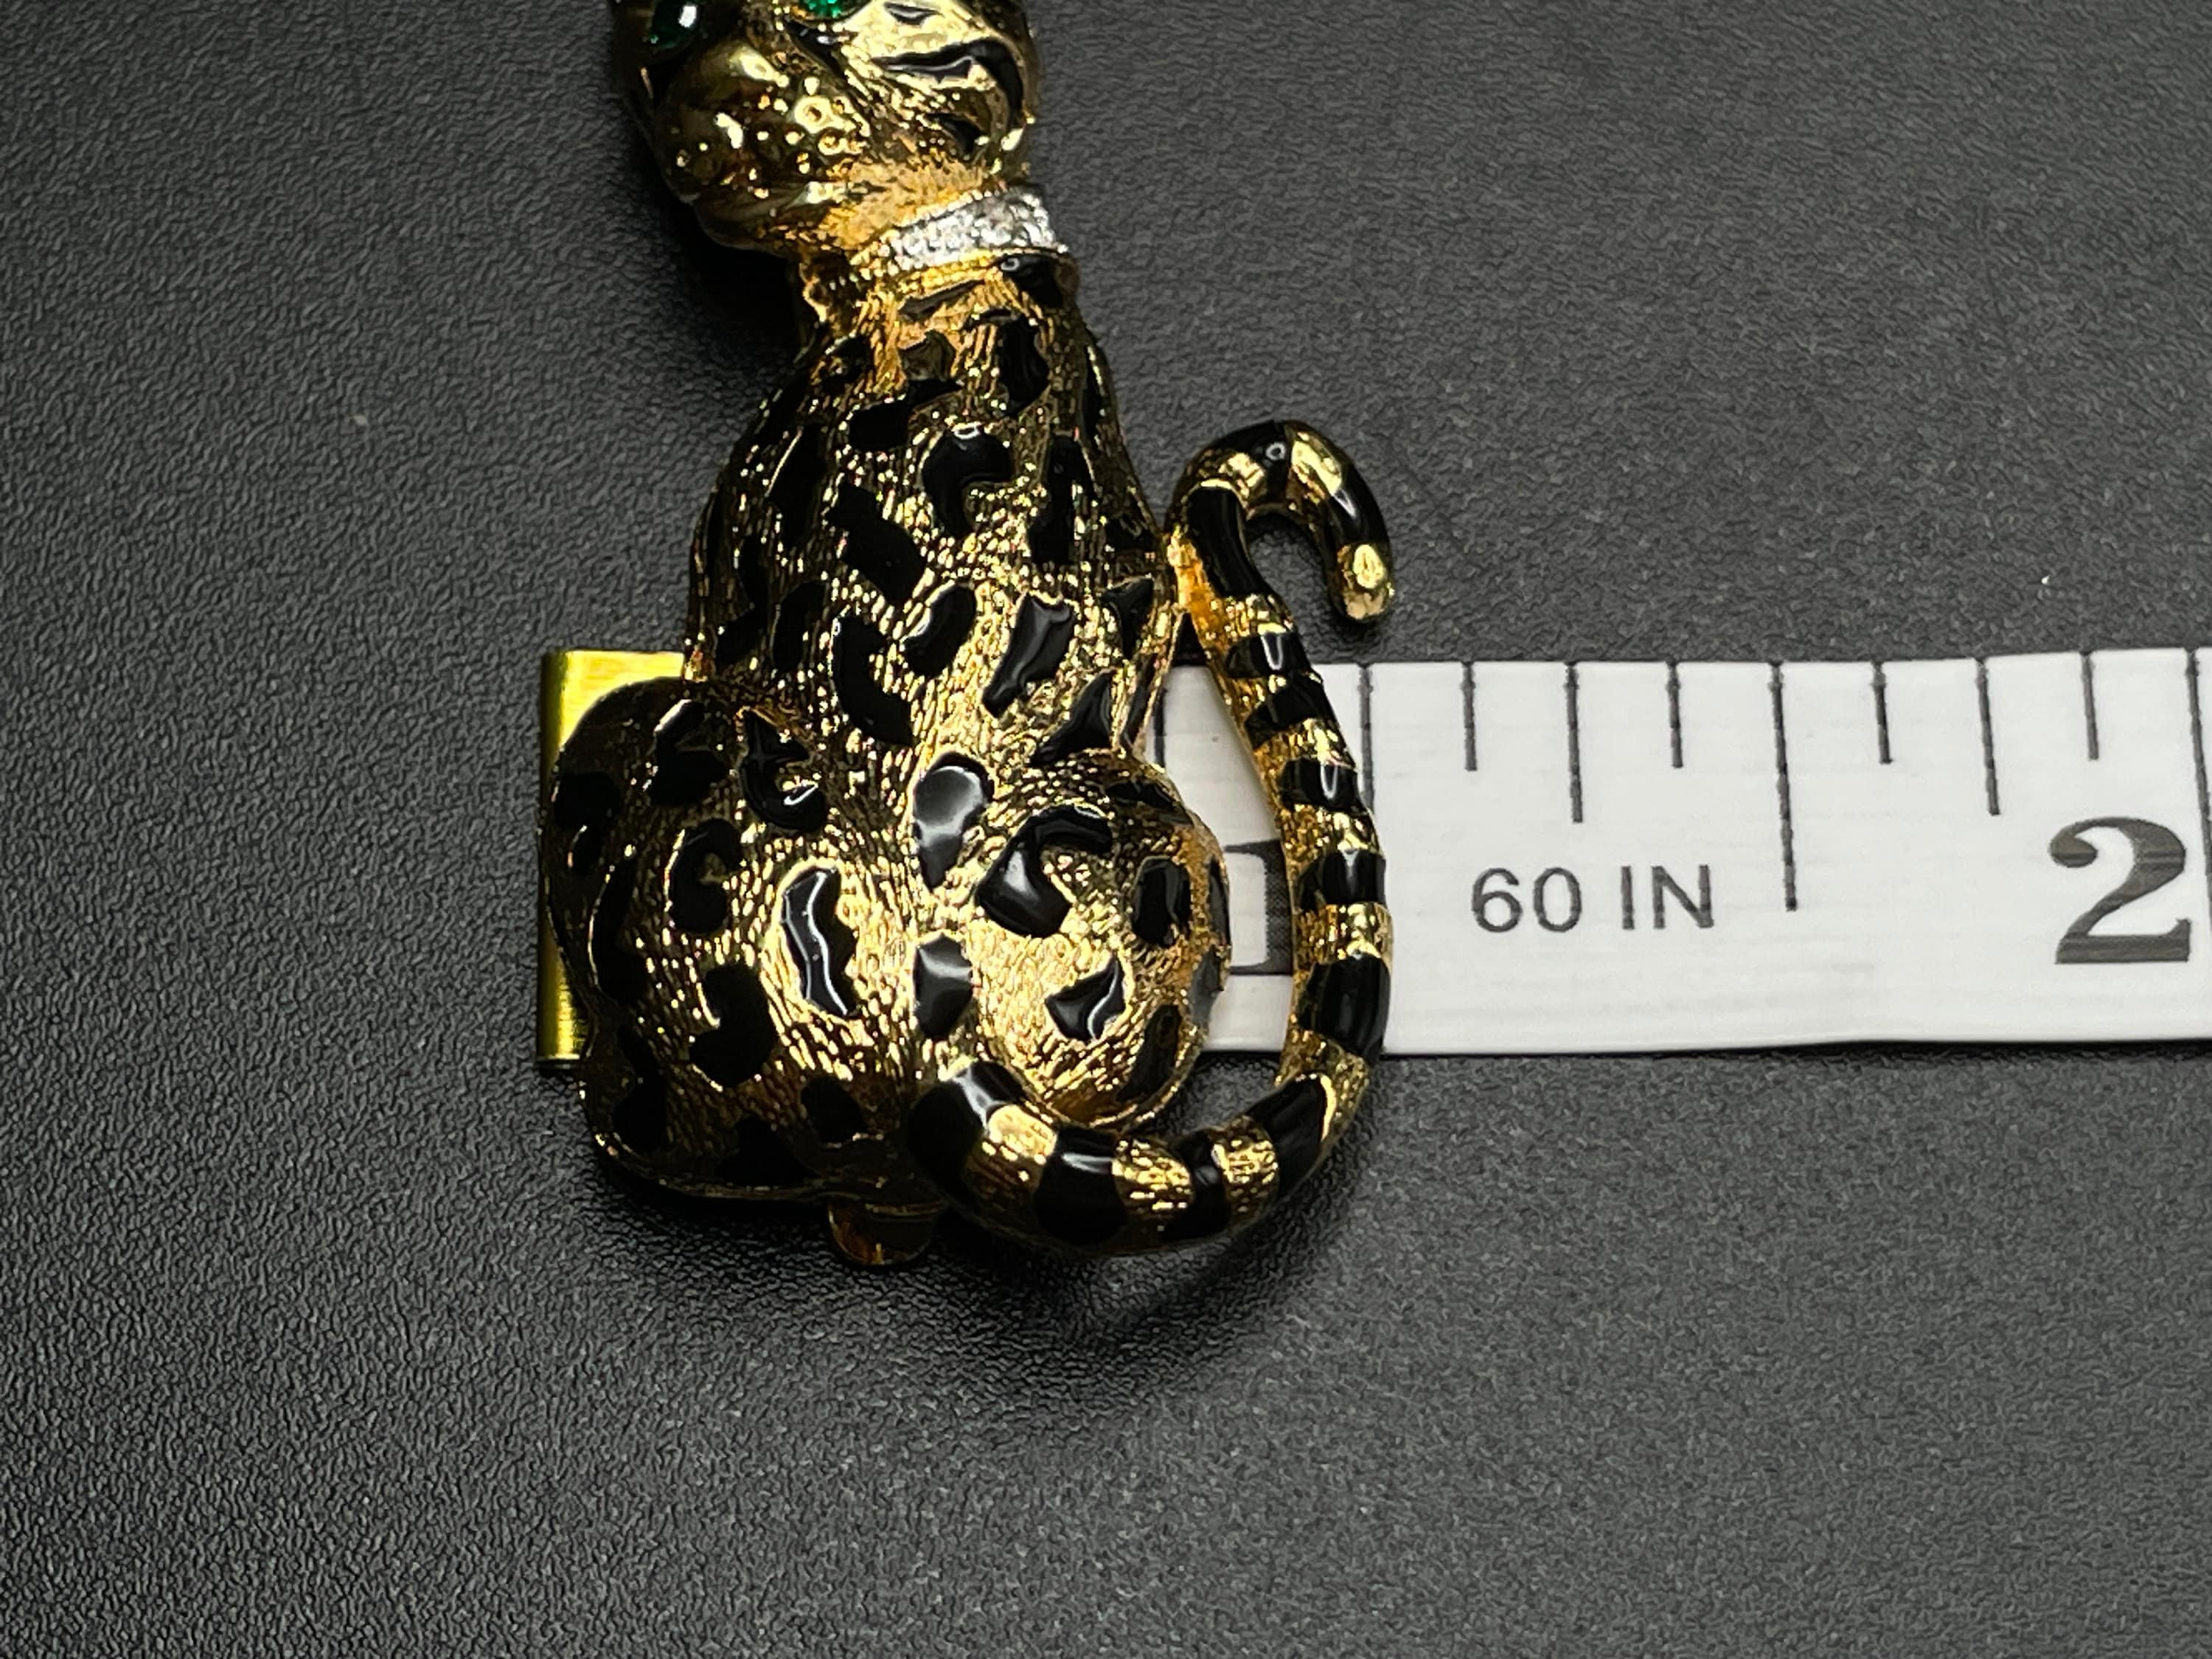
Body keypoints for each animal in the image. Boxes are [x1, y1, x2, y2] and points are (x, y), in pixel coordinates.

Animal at [543, 0, 1396, 1264]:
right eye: (671, 27)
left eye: (835, 11)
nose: (723, 97)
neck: (936, 259)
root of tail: (931, 1020)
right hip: (1166, 836)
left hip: (644, 726)